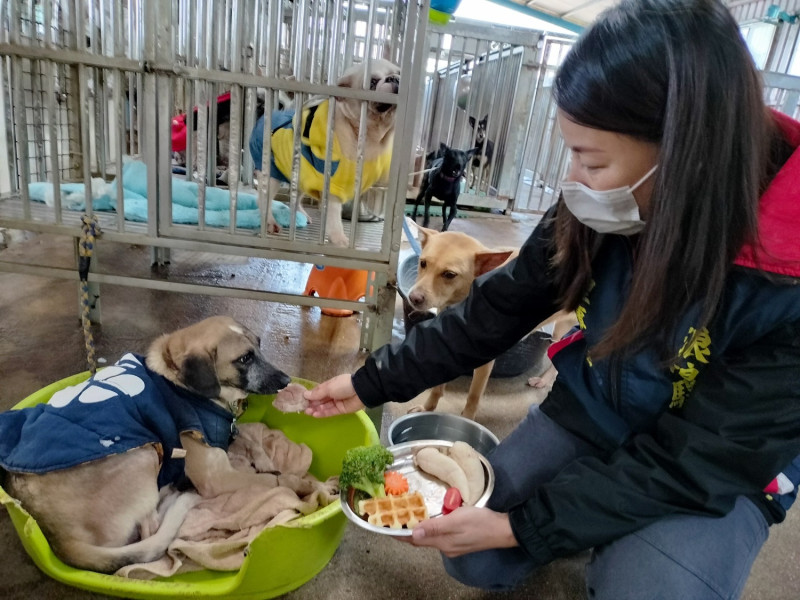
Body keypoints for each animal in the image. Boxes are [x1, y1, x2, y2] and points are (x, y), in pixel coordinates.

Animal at [0, 316, 334, 576]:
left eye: (260, 345)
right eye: (244, 359)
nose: (286, 380)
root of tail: (52, 533)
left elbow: (250, 436)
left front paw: (263, 458)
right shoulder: (217, 478)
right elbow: (273, 481)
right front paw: (304, 484)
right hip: (144, 453)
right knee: (151, 529)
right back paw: (176, 495)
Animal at [248, 58, 400, 246]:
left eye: (399, 73)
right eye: (372, 82)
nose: (394, 78)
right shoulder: (333, 187)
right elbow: (334, 218)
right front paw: (340, 239)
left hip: (300, 177)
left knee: (295, 199)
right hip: (271, 174)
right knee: (264, 200)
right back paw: (269, 222)